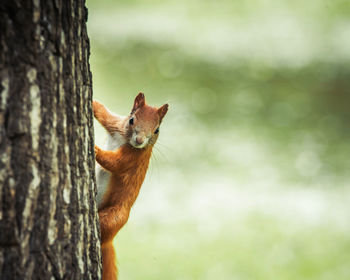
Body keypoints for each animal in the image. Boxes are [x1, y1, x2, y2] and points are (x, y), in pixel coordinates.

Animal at [93, 93, 170, 280]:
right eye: (131, 120)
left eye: (157, 130)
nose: (140, 140)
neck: (125, 139)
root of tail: (108, 242)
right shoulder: (115, 123)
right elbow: (101, 111)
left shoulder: (132, 159)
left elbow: (114, 162)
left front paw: (95, 149)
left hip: (116, 217)